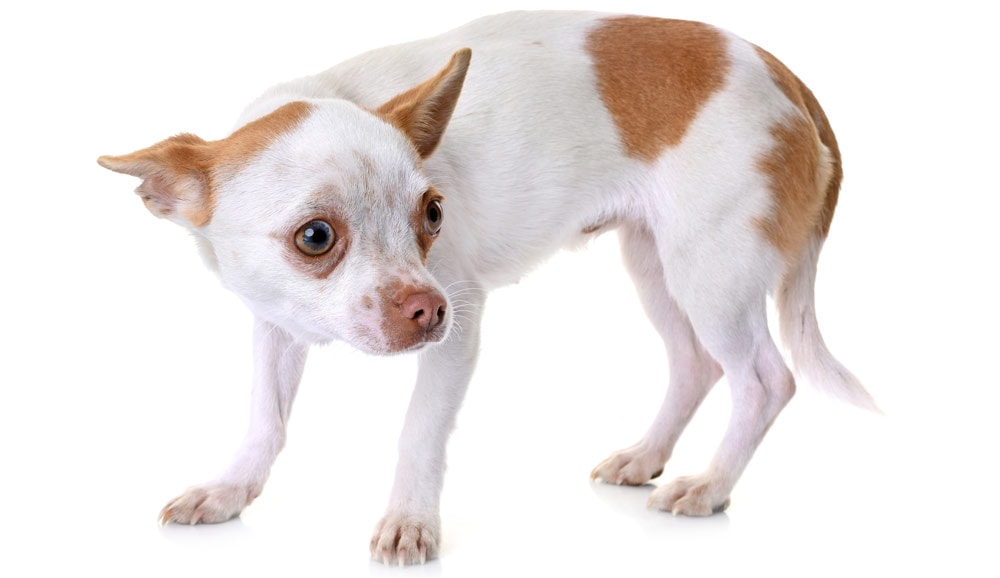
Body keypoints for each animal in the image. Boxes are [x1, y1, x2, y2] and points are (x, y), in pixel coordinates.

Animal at [95, 11, 876, 564]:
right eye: (315, 237)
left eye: (432, 213)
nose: (428, 307)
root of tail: (782, 72)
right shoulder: (277, 327)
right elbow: (267, 419)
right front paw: (231, 491)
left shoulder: (459, 332)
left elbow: (419, 430)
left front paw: (409, 522)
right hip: (659, 264)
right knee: (696, 364)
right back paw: (647, 458)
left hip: (711, 271)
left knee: (764, 379)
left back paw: (710, 487)